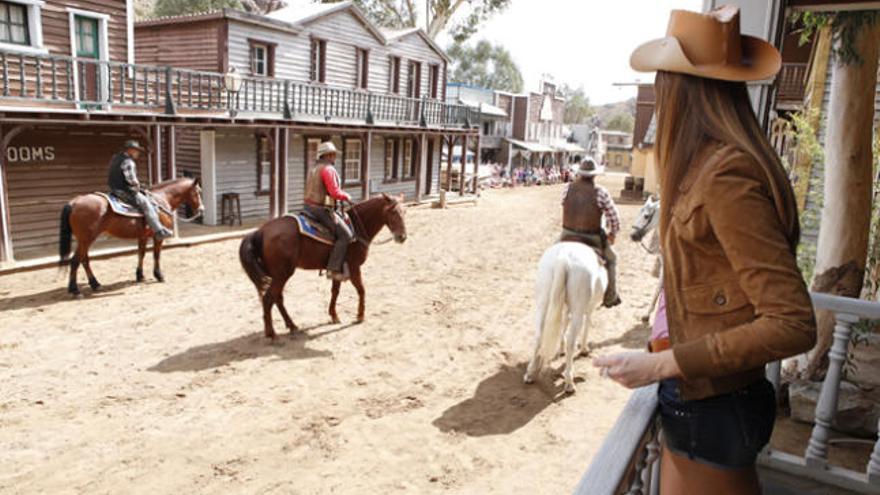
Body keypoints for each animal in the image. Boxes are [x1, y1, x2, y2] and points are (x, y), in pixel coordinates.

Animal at [58, 177, 205, 294]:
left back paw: (95, 284)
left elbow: (141, 254)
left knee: (84, 260)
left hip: (84, 240)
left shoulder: (143, 236)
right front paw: (159, 275)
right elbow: (156, 255)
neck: (161, 199)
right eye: (198, 192)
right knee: (76, 261)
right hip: (86, 239)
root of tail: (74, 202)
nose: (201, 210)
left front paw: (140, 276)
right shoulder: (157, 237)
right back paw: (75, 290)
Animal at [239, 192, 408, 340]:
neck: (357, 226)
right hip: (282, 274)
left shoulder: (338, 267)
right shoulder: (354, 267)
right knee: (269, 298)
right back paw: (271, 334)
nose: (402, 237)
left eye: (405, 211)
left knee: (277, 298)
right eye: (392, 211)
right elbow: (361, 290)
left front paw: (334, 315)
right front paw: (360, 316)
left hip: (277, 274)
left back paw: (292, 325)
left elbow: (335, 291)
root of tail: (261, 231)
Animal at [524, 241, 604, 396]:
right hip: (578, 309)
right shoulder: (589, 307)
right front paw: (584, 349)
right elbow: (586, 325)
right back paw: (569, 383)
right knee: (572, 341)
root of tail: (564, 257)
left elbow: (563, 323)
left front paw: (560, 348)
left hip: (543, 302)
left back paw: (530, 373)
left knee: (539, 336)